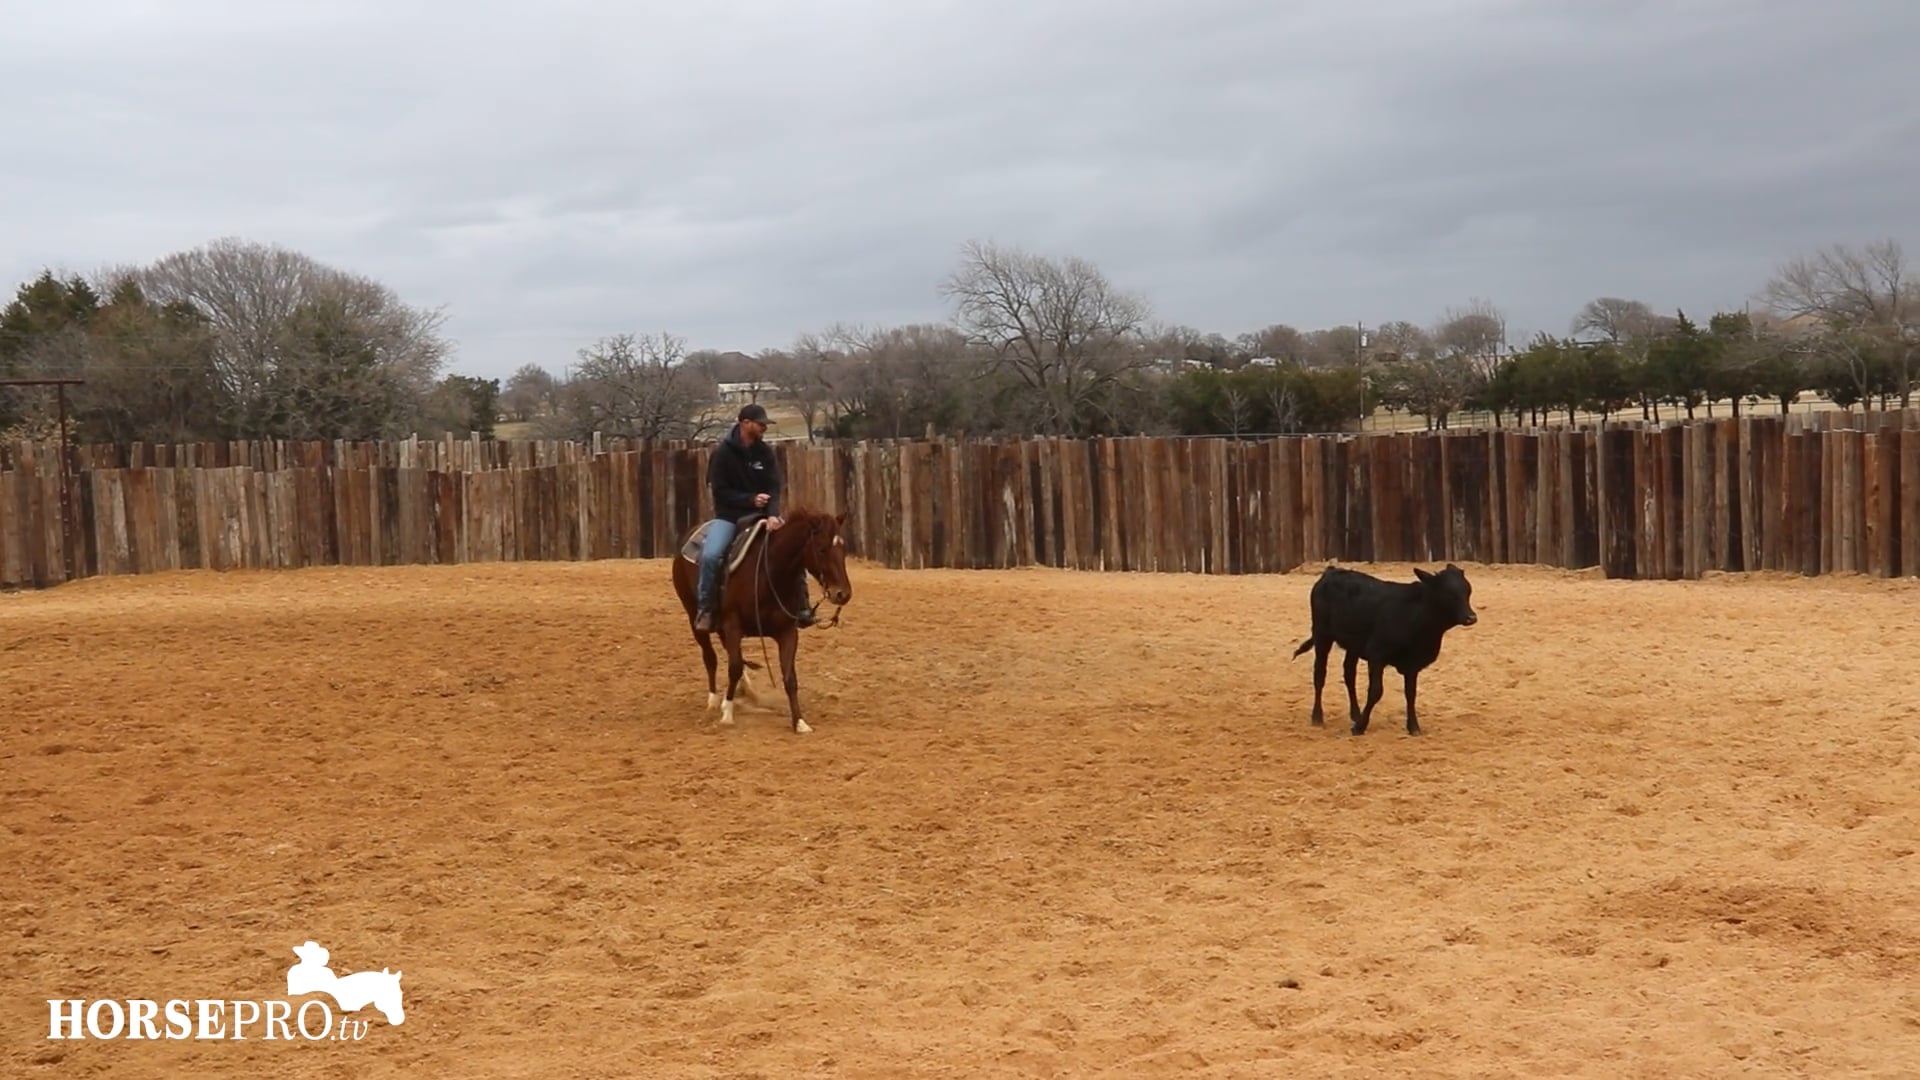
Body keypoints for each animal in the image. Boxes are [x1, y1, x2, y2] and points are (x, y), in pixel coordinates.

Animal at [670, 505, 853, 734]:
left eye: (843, 549)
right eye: (821, 549)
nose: (843, 594)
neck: (769, 574)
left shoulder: (787, 632)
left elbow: (789, 677)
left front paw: (799, 722)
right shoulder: (733, 625)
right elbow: (734, 667)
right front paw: (727, 713)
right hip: (694, 617)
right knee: (710, 657)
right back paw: (713, 701)